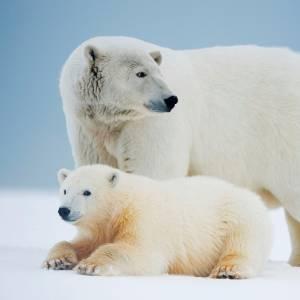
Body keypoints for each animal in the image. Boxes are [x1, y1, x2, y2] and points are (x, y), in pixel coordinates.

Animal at [41, 165, 270, 278]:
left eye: (87, 192)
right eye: (65, 190)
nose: (64, 210)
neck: (122, 204)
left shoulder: (143, 218)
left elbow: (140, 252)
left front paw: (90, 265)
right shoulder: (99, 229)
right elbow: (79, 243)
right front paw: (57, 261)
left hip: (238, 218)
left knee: (240, 245)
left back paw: (227, 271)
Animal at [59, 35, 300, 264]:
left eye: (159, 72)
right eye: (140, 73)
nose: (171, 99)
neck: (114, 121)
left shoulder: (149, 125)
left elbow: (150, 172)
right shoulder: (89, 130)